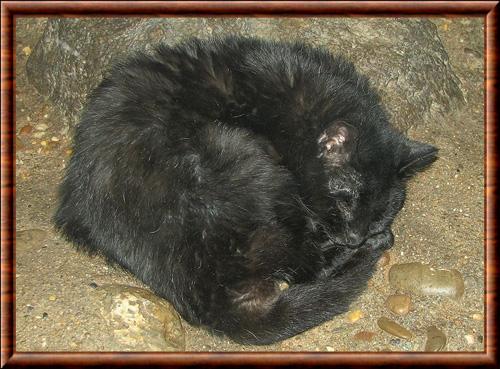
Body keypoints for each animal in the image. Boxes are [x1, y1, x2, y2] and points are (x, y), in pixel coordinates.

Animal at [55, 36, 438, 344]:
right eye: (344, 201)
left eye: (378, 214)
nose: (358, 235)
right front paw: (372, 240)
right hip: (238, 154)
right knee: (305, 268)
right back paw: (374, 245)